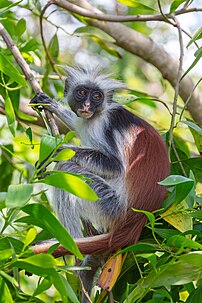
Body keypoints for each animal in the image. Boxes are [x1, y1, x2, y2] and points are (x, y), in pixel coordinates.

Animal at [30, 64, 170, 302]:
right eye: (81, 93)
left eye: (97, 96)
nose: (87, 106)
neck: (96, 115)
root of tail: (135, 221)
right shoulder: (85, 121)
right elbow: (78, 123)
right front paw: (50, 103)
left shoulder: (105, 125)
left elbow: (114, 166)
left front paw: (57, 152)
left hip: (108, 204)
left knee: (67, 169)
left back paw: (79, 257)